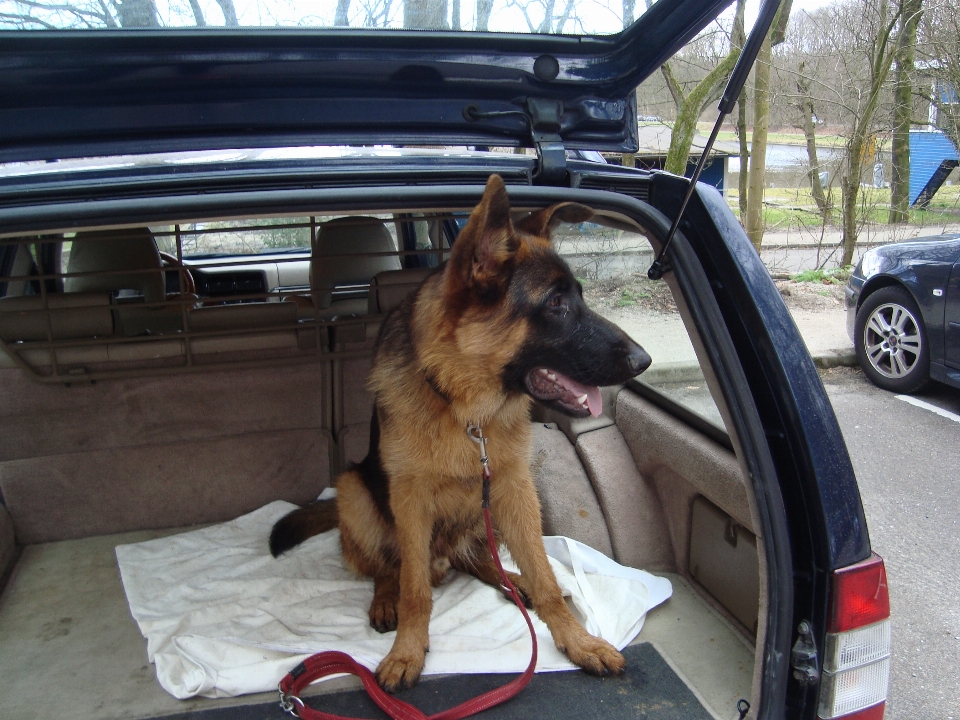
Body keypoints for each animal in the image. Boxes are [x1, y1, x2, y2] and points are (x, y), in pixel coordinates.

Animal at [274, 173, 656, 692]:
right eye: (556, 304)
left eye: (578, 296)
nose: (643, 360)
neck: (465, 408)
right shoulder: (410, 501)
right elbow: (415, 590)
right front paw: (408, 650)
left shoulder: (514, 488)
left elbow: (544, 573)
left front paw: (577, 640)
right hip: (356, 493)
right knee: (388, 568)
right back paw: (386, 599)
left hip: (484, 507)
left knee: (478, 559)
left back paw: (514, 584)